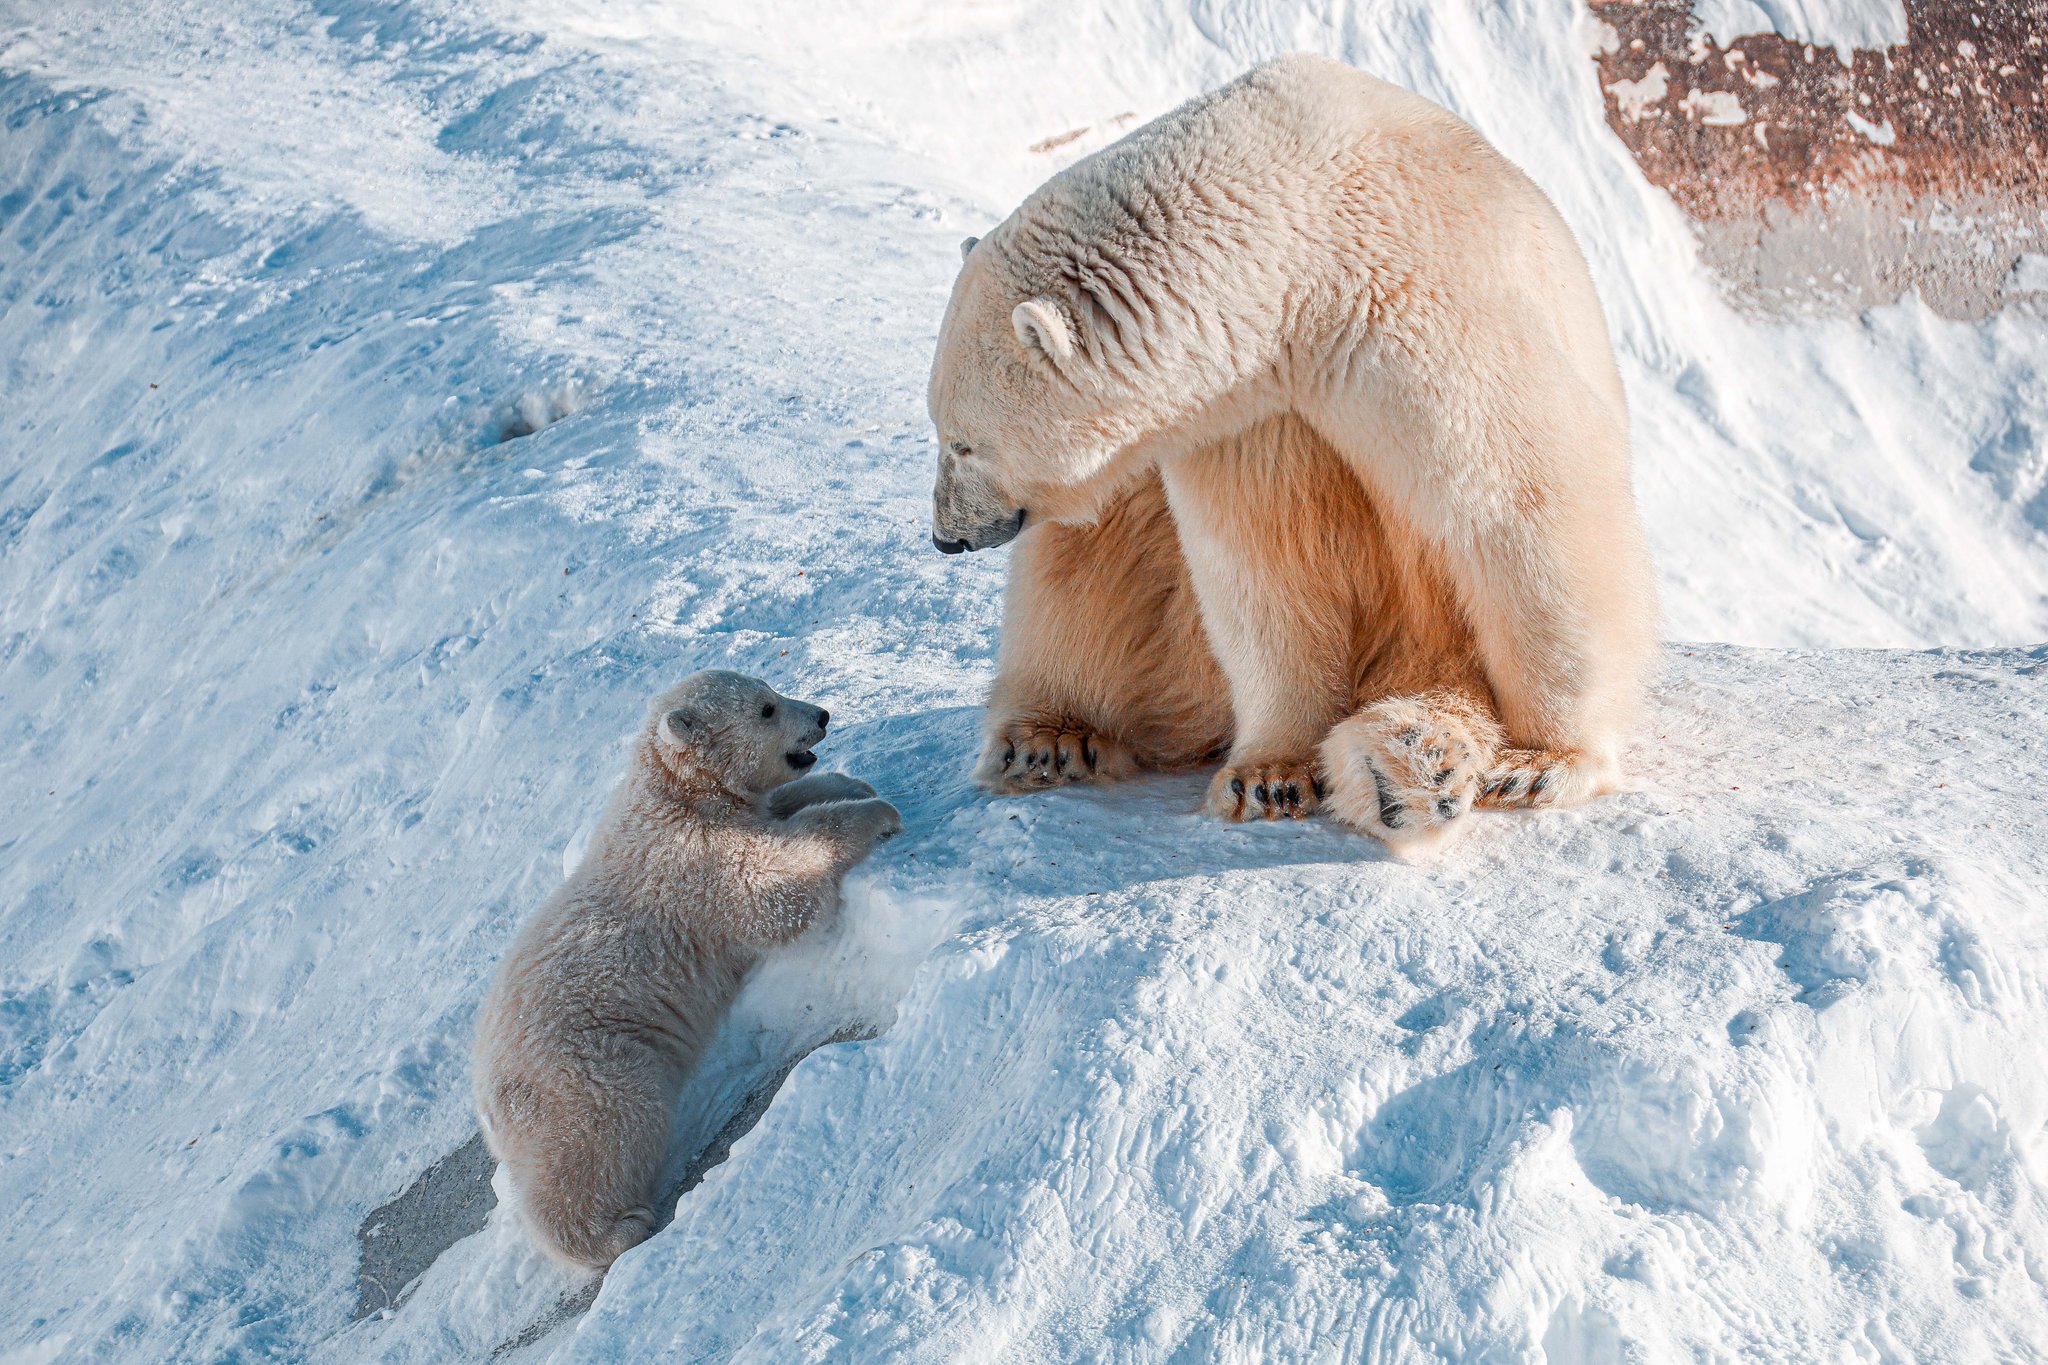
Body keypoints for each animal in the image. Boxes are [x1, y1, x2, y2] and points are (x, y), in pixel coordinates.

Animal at [937, 56, 1654, 855]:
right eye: (941, 429)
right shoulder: (1245, 404)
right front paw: (1270, 777)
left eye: (962, 440)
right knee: (1091, 556)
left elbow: (1519, 505)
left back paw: (1414, 762)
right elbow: (1262, 558)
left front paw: (1542, 762)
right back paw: (1050, 739)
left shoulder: (1427, 307)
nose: (947, 537)